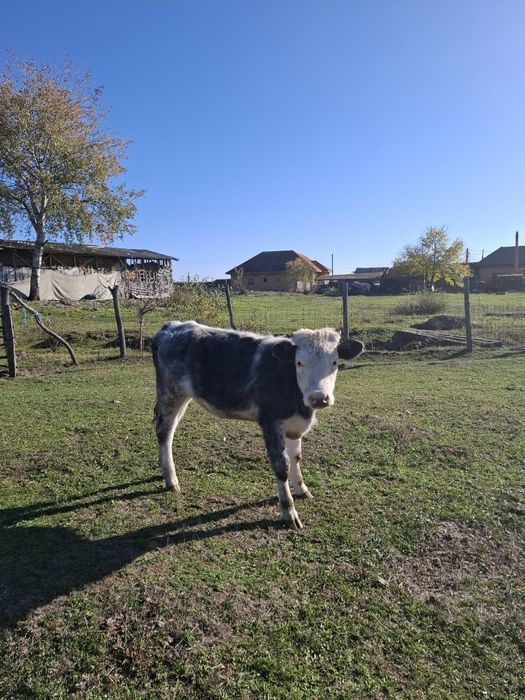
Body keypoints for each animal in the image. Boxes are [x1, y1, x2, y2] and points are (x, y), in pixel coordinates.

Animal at [152, 321, 364, 529]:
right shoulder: (271, 422)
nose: (319, 398)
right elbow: (282, 466)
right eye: (299, 362)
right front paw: (288, 511)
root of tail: (172, 327)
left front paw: (302, 489)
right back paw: (171, 479)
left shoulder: (294, 425)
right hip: (170, 393)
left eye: (334, 362)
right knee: (164, 432)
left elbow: (296, 457)